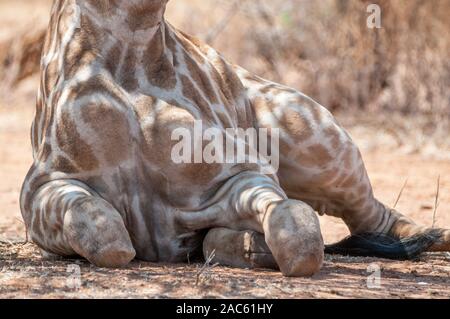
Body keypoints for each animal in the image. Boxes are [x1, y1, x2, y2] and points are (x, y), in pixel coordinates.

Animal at [19, 0, 448, 278]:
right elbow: (101, 230)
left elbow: (299, 235)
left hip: (315, 145)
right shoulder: (45, 185)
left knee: (372, 214)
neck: (129, 49)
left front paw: (260, 246)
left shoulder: (239, 174)